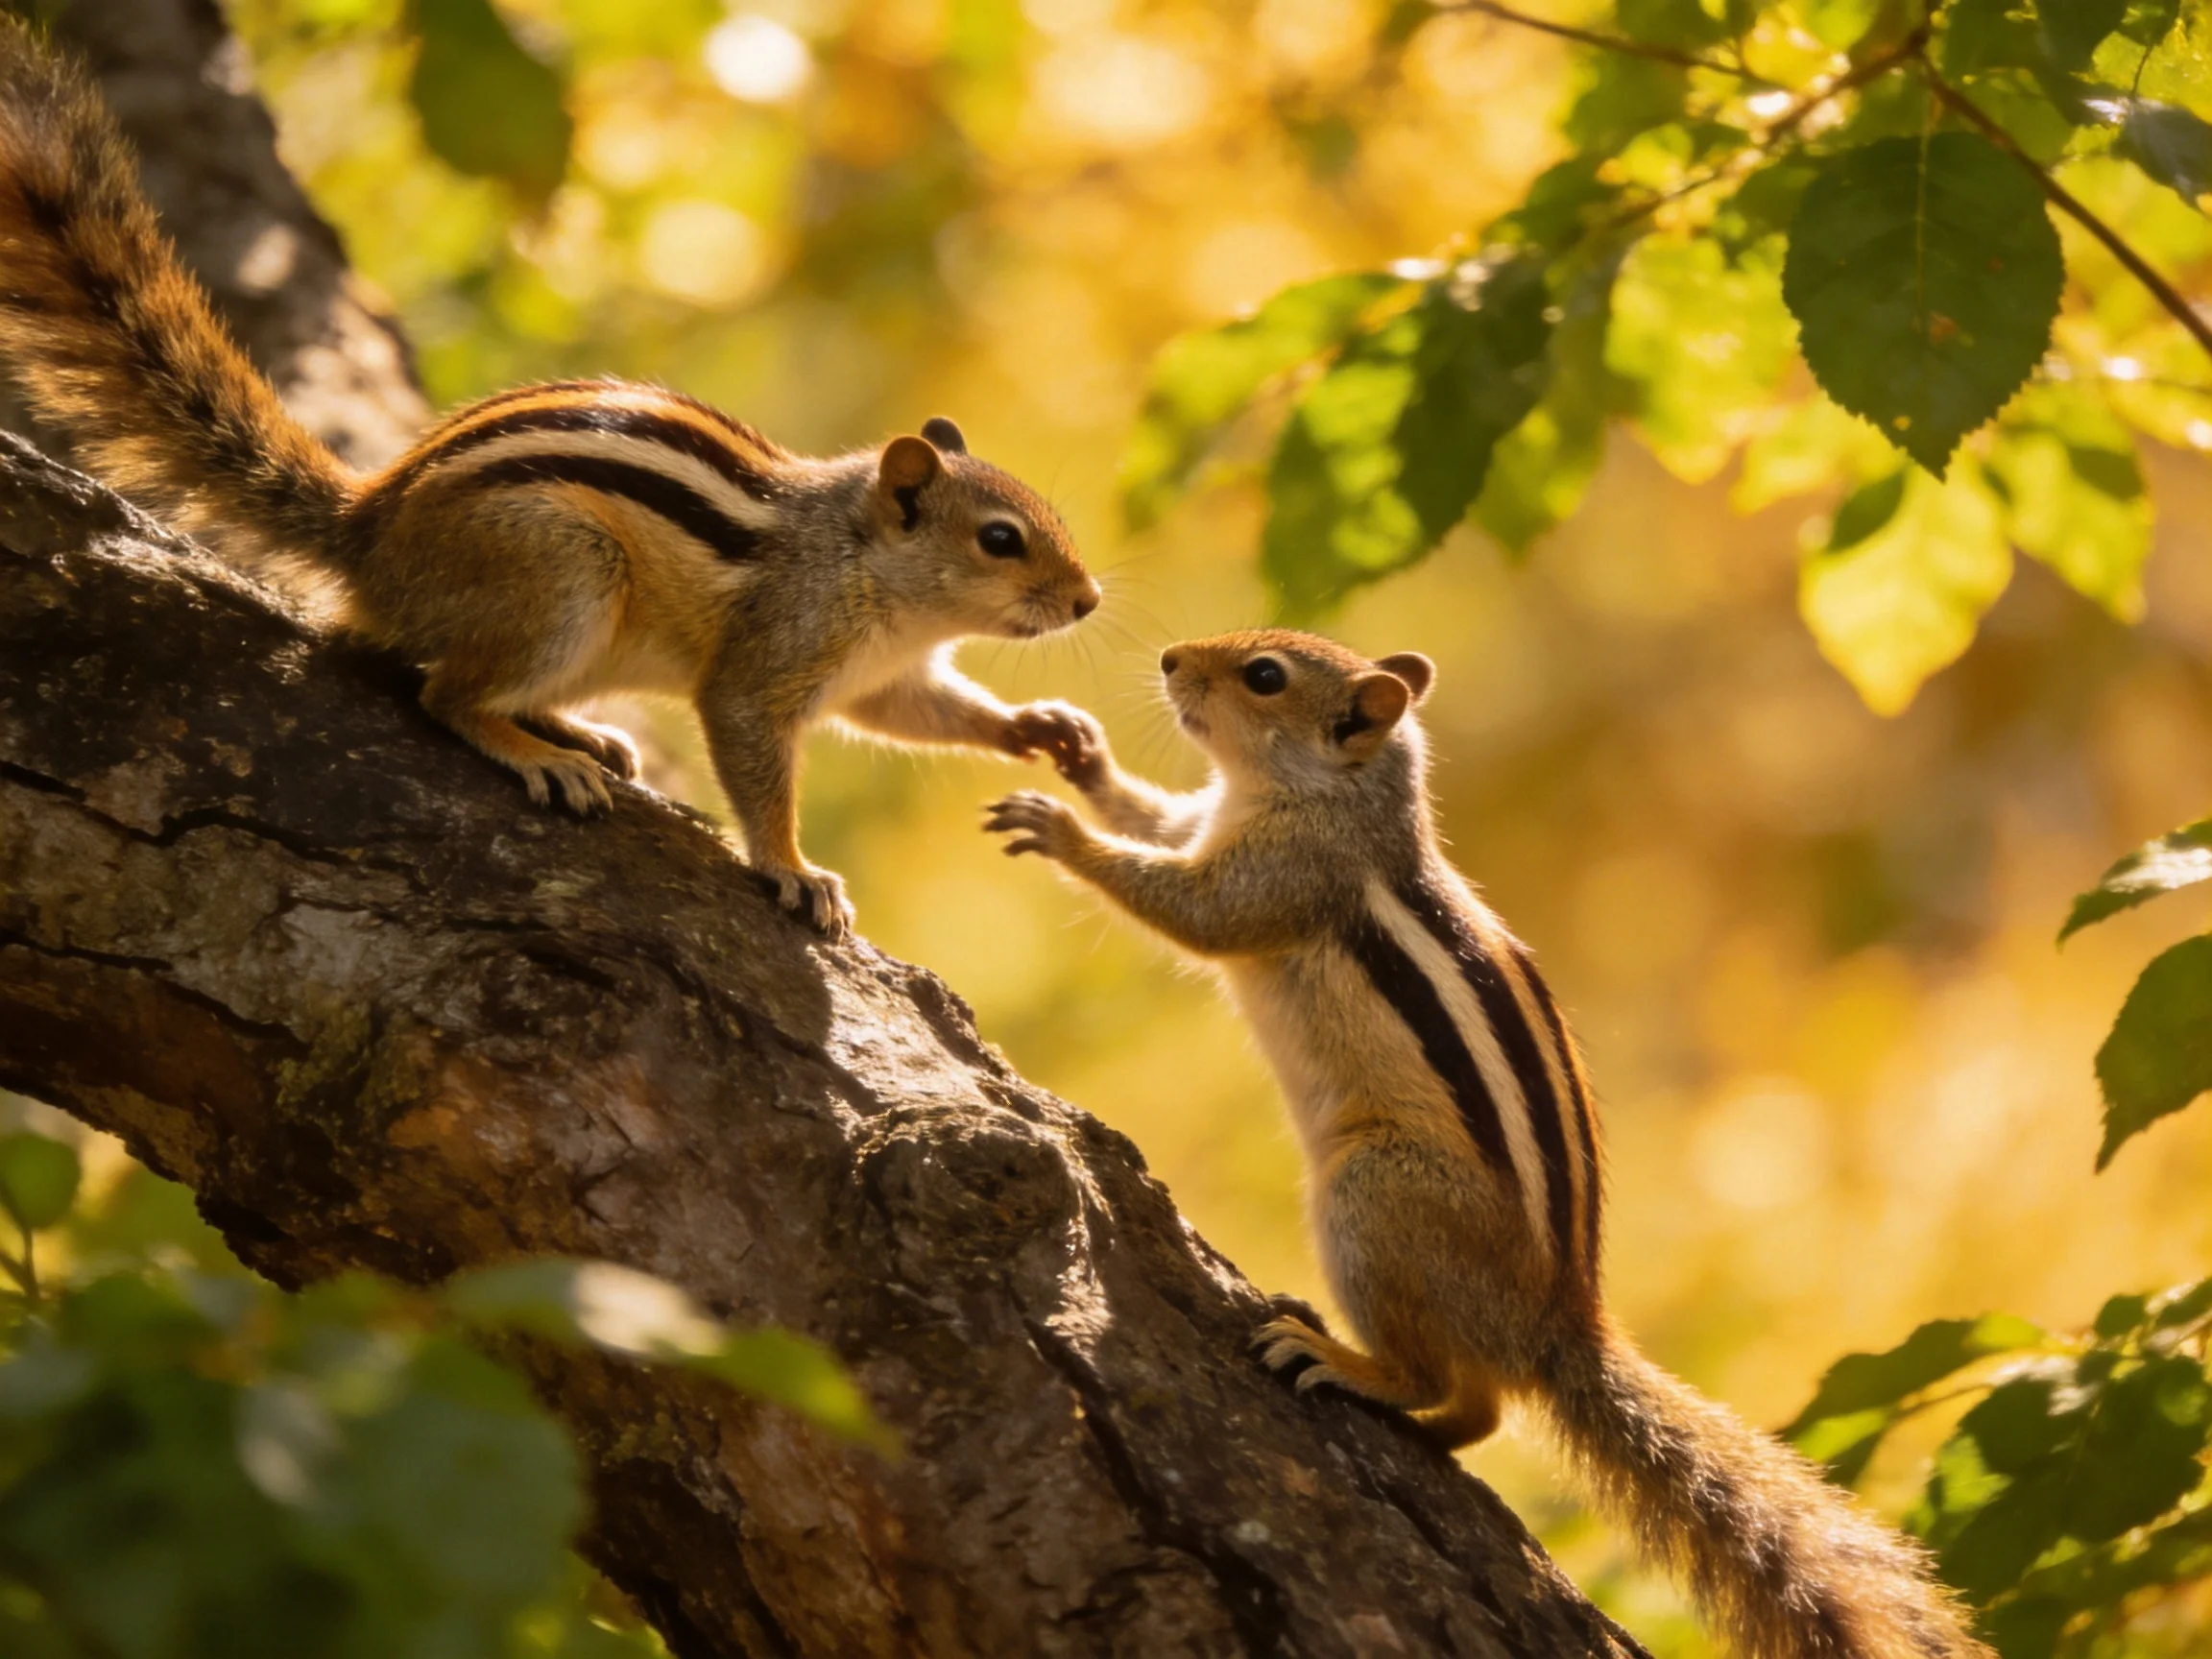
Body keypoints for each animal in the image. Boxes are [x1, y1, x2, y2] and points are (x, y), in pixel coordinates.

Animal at [0, 18, 1100, 936]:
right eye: (1000, 539)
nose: (1088, 601)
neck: (878, 579)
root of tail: (369, 534)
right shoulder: (772, 652)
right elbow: (752, 755)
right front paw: (793, 869)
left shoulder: (887, 678)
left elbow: (929, 714)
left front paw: (1041, 728)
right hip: (559, 573)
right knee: (444, 693)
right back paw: (547, 756)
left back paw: (582, 733)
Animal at [985, 629, 1989, 1659]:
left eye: (1264, 676)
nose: (1171, 657)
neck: (1330, 794)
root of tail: (1556, 1326)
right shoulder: (1209, 820)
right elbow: (1159, 814)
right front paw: (1082, 758)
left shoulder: (1286, 875)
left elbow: (1194, 909)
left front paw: (1062, 829)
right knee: (1475, 1413)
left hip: (1376, 1193)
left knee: (1459, 1394)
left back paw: (1344, 1362)